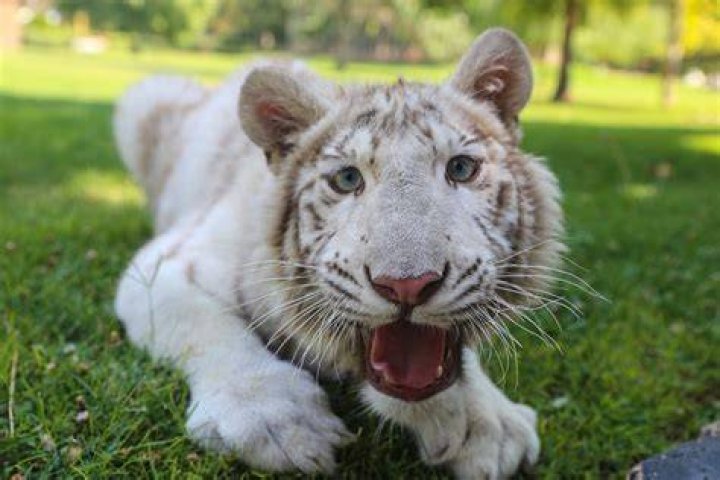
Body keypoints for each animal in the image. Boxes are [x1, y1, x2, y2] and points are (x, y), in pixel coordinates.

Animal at [113, 28, 564, 479]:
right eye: (347, 179)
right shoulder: (167, 266)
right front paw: (279, 421)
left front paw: (488, 420)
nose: (406, 285)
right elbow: (208, 327)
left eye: (461, 169)